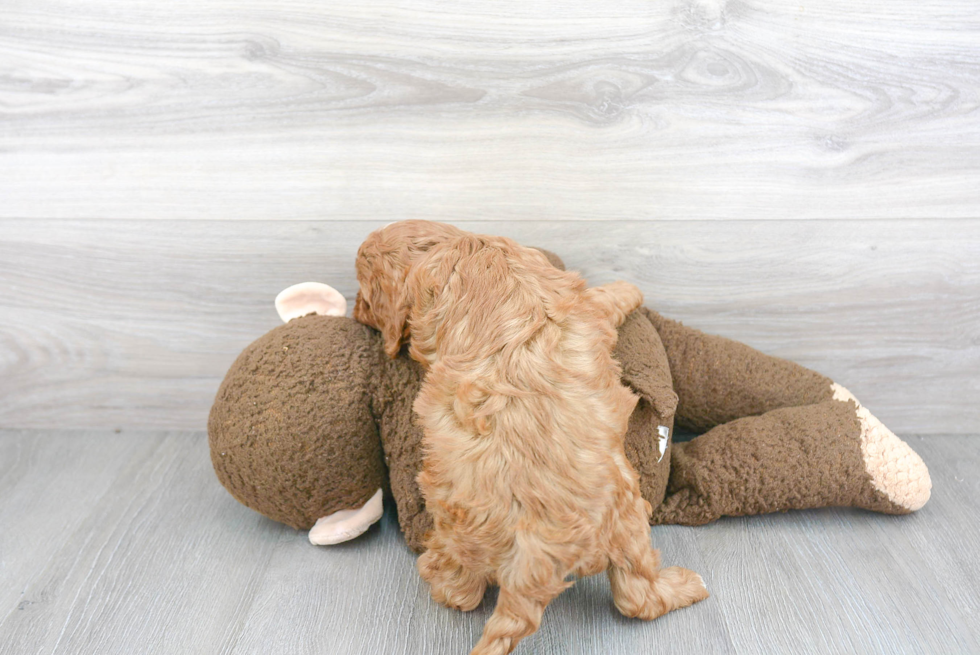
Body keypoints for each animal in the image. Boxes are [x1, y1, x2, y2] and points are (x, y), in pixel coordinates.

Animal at [356, 222, 708, 655]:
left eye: (364, 292)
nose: (354, 310)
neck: (447, 246)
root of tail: (533, 557)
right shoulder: (584, 300)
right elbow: (608, 296)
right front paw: (629, 286)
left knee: (464, 594)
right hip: (628, 512)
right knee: (636, 597)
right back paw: (686, 585)